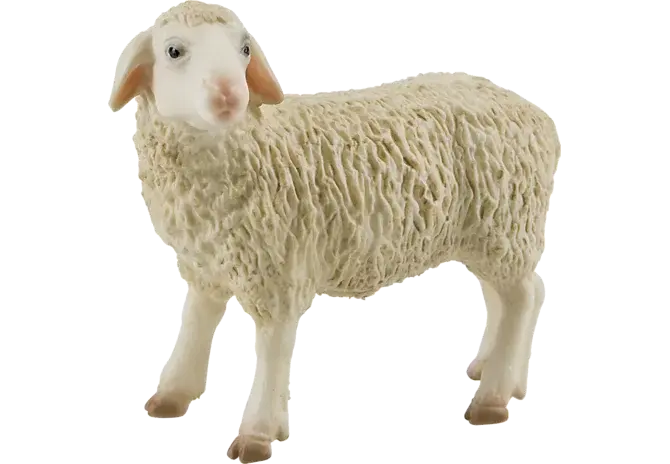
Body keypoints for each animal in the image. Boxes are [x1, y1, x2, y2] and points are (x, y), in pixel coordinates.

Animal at [110, 0, 559, 460]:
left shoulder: (280, 274)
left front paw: (256, 434)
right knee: (509, 293)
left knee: (523, 296)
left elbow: (271, 352)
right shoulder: (205, 266)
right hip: (493, 229)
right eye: (174, 51)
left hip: (506, 220)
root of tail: (538, 116)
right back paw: (498, 372)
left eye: (245, 50)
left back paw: (493, 398)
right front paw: (171, 397)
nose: (229, 95)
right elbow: (195, 328)